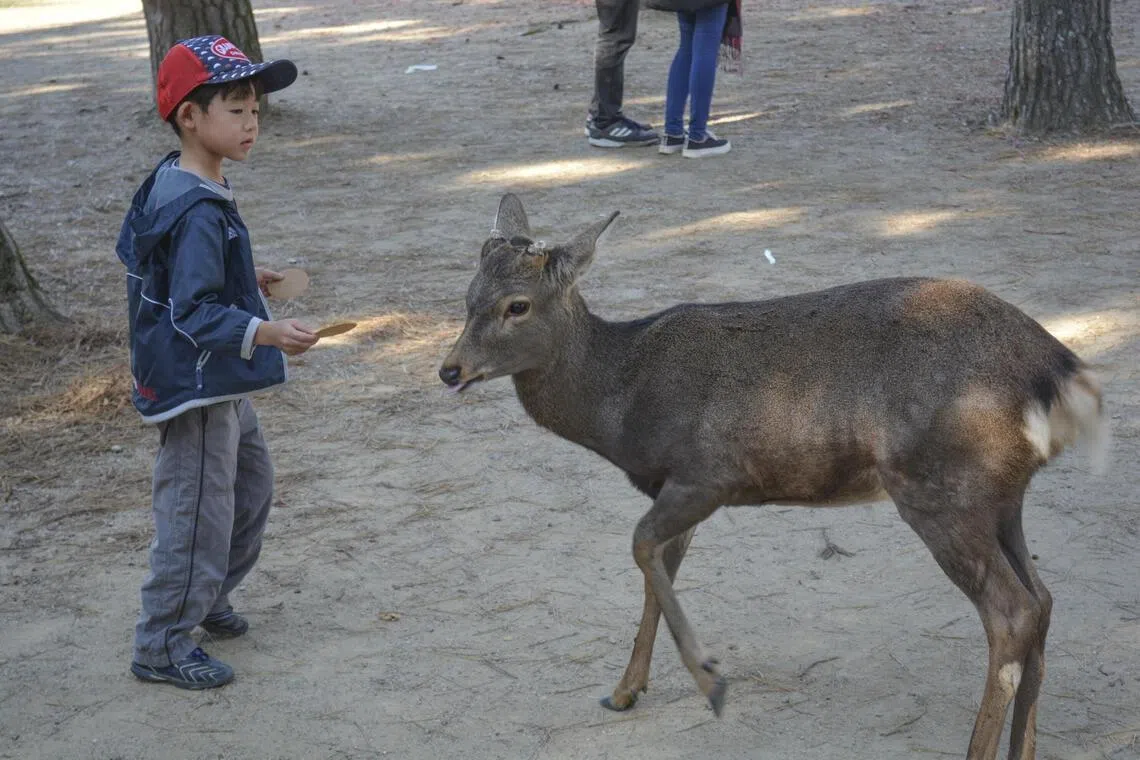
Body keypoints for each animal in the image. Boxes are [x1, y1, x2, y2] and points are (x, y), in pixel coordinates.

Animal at [437, 194, 1108, 760]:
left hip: (939, 487)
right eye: (467, 295)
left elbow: (641, 546)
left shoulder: (707, 472)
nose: (450, 370)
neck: (623, 407)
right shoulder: (674, 486)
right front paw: (625, 689)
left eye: (517, 305)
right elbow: (660, 570)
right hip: (1000, 495)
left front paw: (710, 682)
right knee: (1043, 602)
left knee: (1012, 612)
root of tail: (1059, 372)